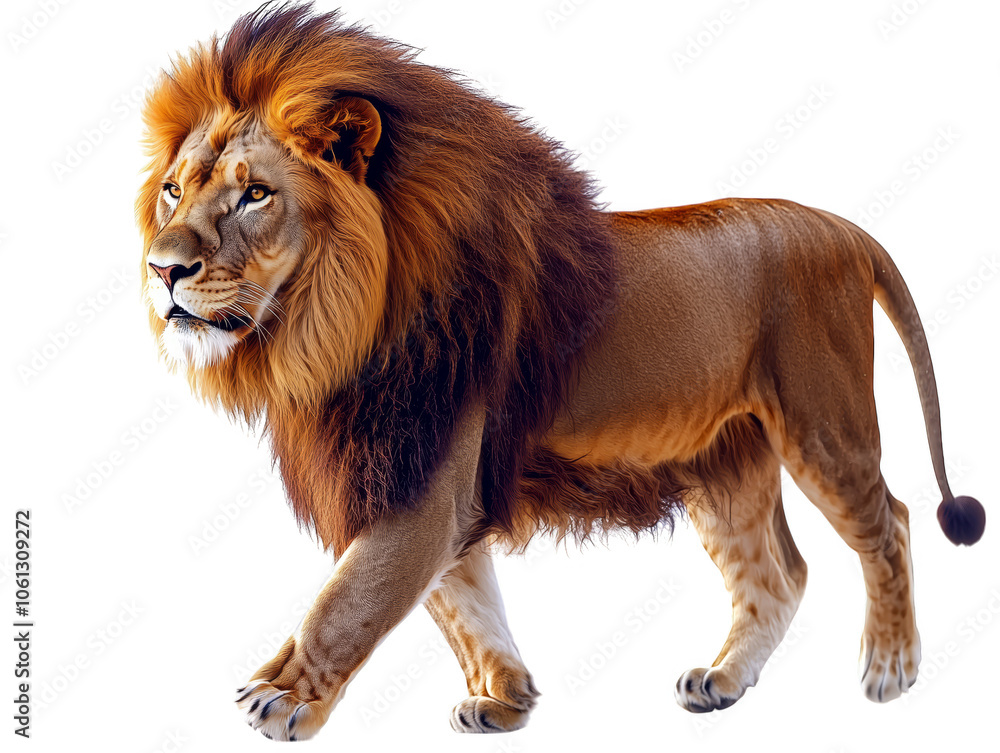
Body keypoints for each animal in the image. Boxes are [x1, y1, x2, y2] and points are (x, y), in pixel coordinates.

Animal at [137, 4, 985, 741]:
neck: (323, 330)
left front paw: (281, 697)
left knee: (891, 523)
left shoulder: (425, 481)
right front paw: (505, 699)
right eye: (174, 190)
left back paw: (890, 666)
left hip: (823, 422)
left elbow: (350, 598)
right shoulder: (419, 472)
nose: (162, 269)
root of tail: (844, 229)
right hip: (727, 461)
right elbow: (462, 603)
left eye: (254, 194)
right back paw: (723, 680)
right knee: (779, 574)